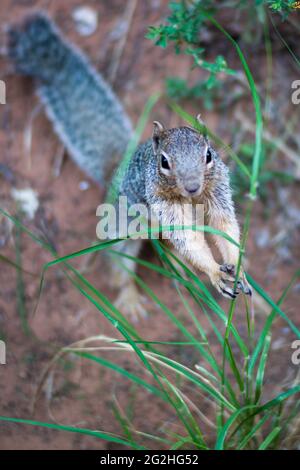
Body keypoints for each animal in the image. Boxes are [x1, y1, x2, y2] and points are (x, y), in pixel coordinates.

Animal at [7, 12, 251, 320]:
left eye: (208, 154)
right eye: (164, 162)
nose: (193, 187)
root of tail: (113, 173)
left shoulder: (218, 190)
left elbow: (225, 227)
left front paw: (238, 268)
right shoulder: (162, 205)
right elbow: (188, 239)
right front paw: (215, 274)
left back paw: (179, 267)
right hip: (121, 228)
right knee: (118, 264)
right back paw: (131, 299)